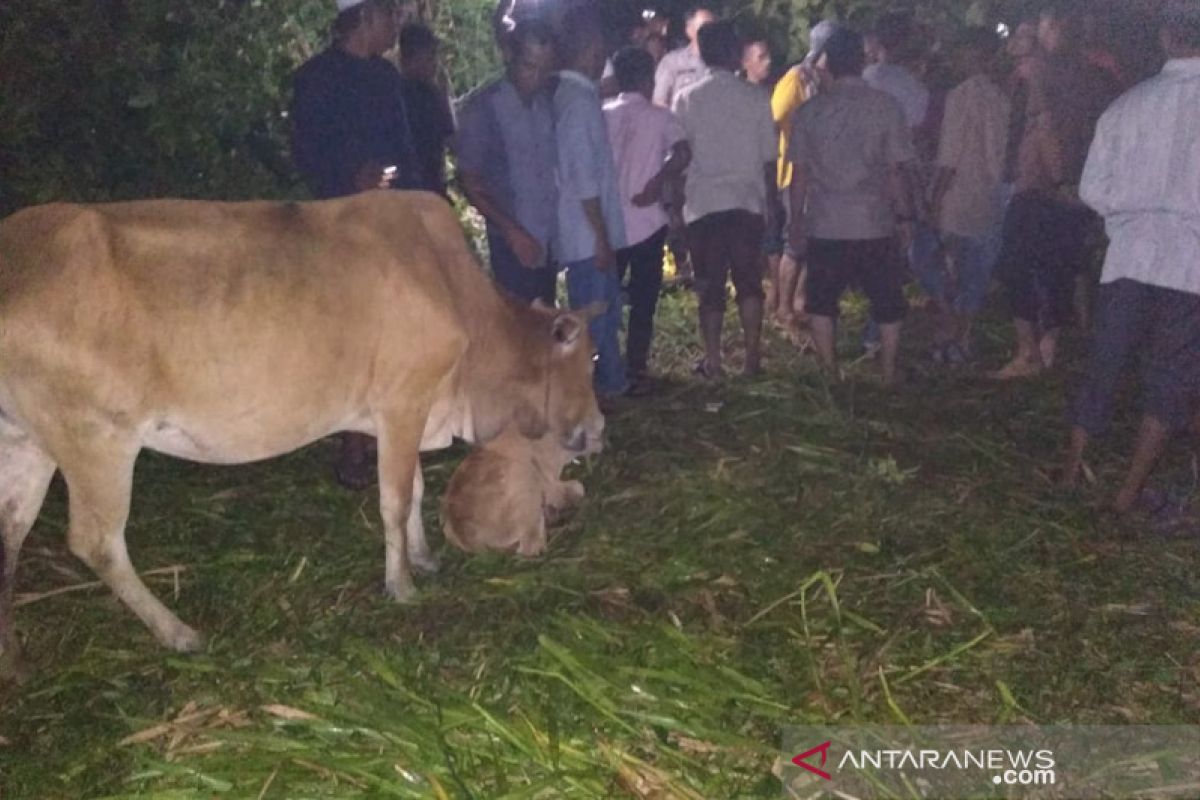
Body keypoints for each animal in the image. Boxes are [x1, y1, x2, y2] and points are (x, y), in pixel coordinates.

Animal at [0, 190, 604, 666]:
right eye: (591, 359)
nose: (599, 427)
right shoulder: (403, 401)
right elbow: (394, 500)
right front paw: (402, 584)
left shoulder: (401, 415)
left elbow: (414, 489)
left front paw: (425, 558)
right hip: (96, 440)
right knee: (96, 541)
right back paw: (179, 633)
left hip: (26, 442)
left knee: (11, 532)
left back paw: (12, 661)